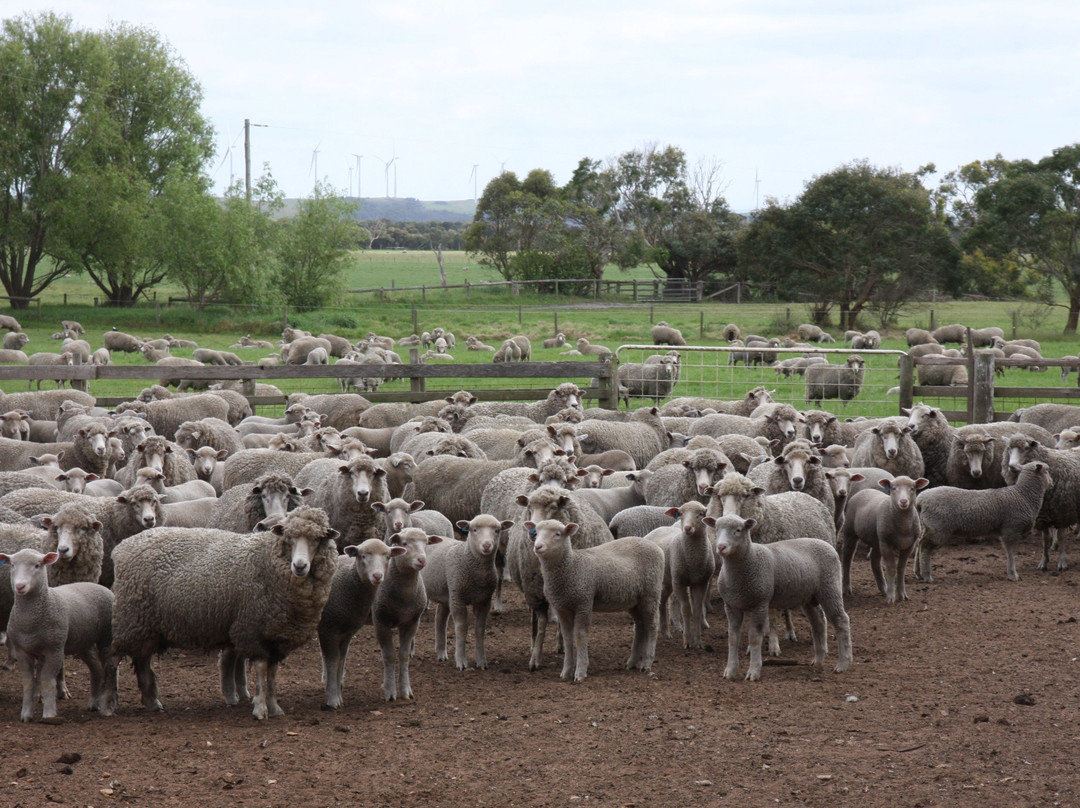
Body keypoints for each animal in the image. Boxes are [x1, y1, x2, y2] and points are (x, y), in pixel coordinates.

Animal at [369, 527, 440, 695]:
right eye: (405, 543)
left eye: (426, 543)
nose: (422, 560)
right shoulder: (380, 621)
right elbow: (389, 656)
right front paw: (390, 690)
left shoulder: (411, 622)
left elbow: (404, 655)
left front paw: (405, 689)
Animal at [416, 514, 509, 674]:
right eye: (474, 530)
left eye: (497, 530)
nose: (486, 545)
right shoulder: (458, 598)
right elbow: (461, 628)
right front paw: (461, 661)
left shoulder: (484, 600)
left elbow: (480, 629)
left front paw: (481, 661)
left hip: (447, 593)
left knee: (440, 619)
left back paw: (441, 653)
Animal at [643, 501, 712, 648]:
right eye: (680, 513)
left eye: (701, 514)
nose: (687, 528)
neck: (694, 561)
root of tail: (658, 529)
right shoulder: (679, 583)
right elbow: (685, 609)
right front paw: (687, 641)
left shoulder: (701, 583)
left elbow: (697, 610)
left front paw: (698, 642)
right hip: (667, 580)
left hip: (669, 580)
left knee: (662, 601)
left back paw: (666, 633)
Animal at [712, 514, 855, 678]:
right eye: (716, 529)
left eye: (738, 530)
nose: (721, 547)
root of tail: (827, 544)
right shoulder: (731, 605)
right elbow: (732, 638)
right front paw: (730, 671)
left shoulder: (760, 603)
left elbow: (755, 638)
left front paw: (753, 672)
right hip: (809, 597)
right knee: (818, 622)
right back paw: (818, 660)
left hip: (830, 587)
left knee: (841, 620)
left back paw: (843, 664)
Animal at [911, 458, 1054, 583]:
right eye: (1047, 471)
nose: (1052, 483)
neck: (1023, 495)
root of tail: (920, 500)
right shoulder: (1010, 529)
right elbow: (1011, 553)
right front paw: (1013, 574)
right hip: (938, 528)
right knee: (925, 547)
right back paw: (927, 576)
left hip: (927, 526)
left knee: (919, 544)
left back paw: (918, 573)